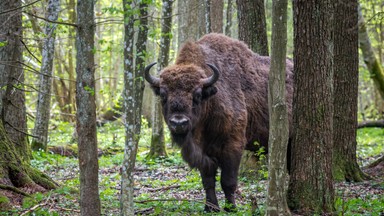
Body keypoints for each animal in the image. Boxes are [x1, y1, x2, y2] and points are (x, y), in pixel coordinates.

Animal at [145, 33, 294, 211]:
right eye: (163, 95)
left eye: (197, 95)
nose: (179, 123)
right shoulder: (204, 153)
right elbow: (208, 181)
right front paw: (210, 207)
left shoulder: (233, 146)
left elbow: (228, 181)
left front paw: (231, 207)